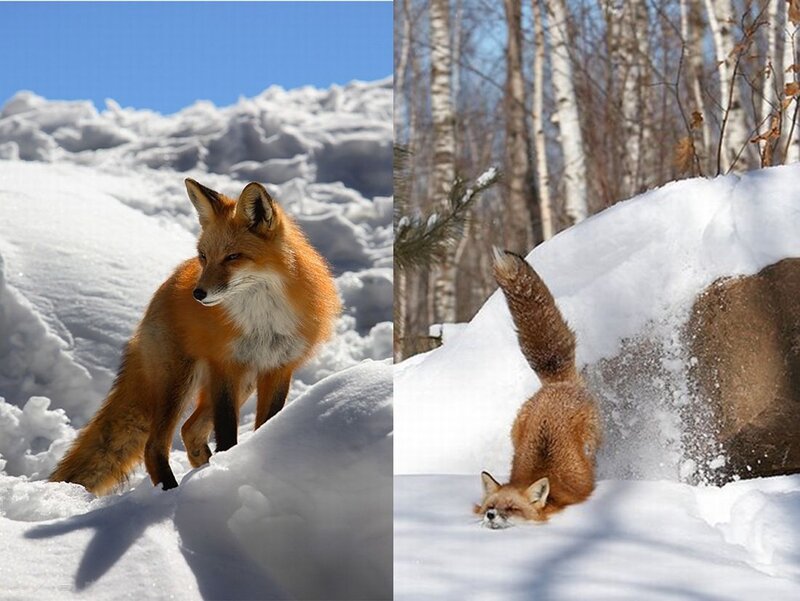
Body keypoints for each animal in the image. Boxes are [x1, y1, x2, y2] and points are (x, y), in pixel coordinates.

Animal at [50, 179, 341, 495]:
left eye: (233, 257)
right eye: (204, 256)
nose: (198, 294)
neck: (262, 319)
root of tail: (164, 288)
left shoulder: (278, 367)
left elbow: (266, 423)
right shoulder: (225, 366)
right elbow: (226, 433)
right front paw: (227, 470)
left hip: (241, 382)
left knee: (189, 430)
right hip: (178, 382)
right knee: (155, 446)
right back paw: (171, 491)